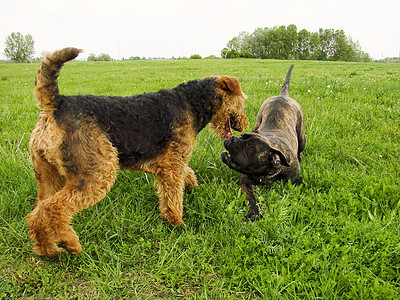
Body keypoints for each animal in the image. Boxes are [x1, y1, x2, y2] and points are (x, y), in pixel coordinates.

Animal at [26, 48, 248, 256]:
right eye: (242, 100)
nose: (243, 124)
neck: (193, 102)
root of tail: (56, 105)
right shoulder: (173, 164)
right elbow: (173, 197)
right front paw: (176, 222)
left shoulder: (174, 161)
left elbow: (188, 174)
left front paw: (194, 189)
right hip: (96, 173)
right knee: (52, 208)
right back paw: (70, 243)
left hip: (49, 175)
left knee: (37, 212)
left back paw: (48, 249)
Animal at [220, 65, 304, 220]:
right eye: (242, 136)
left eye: (250, 146)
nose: (233, 138)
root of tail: (283, 96)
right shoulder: (246, 182)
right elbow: (250, 198)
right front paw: (254, 211)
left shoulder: (295, 180)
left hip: (302, 135)